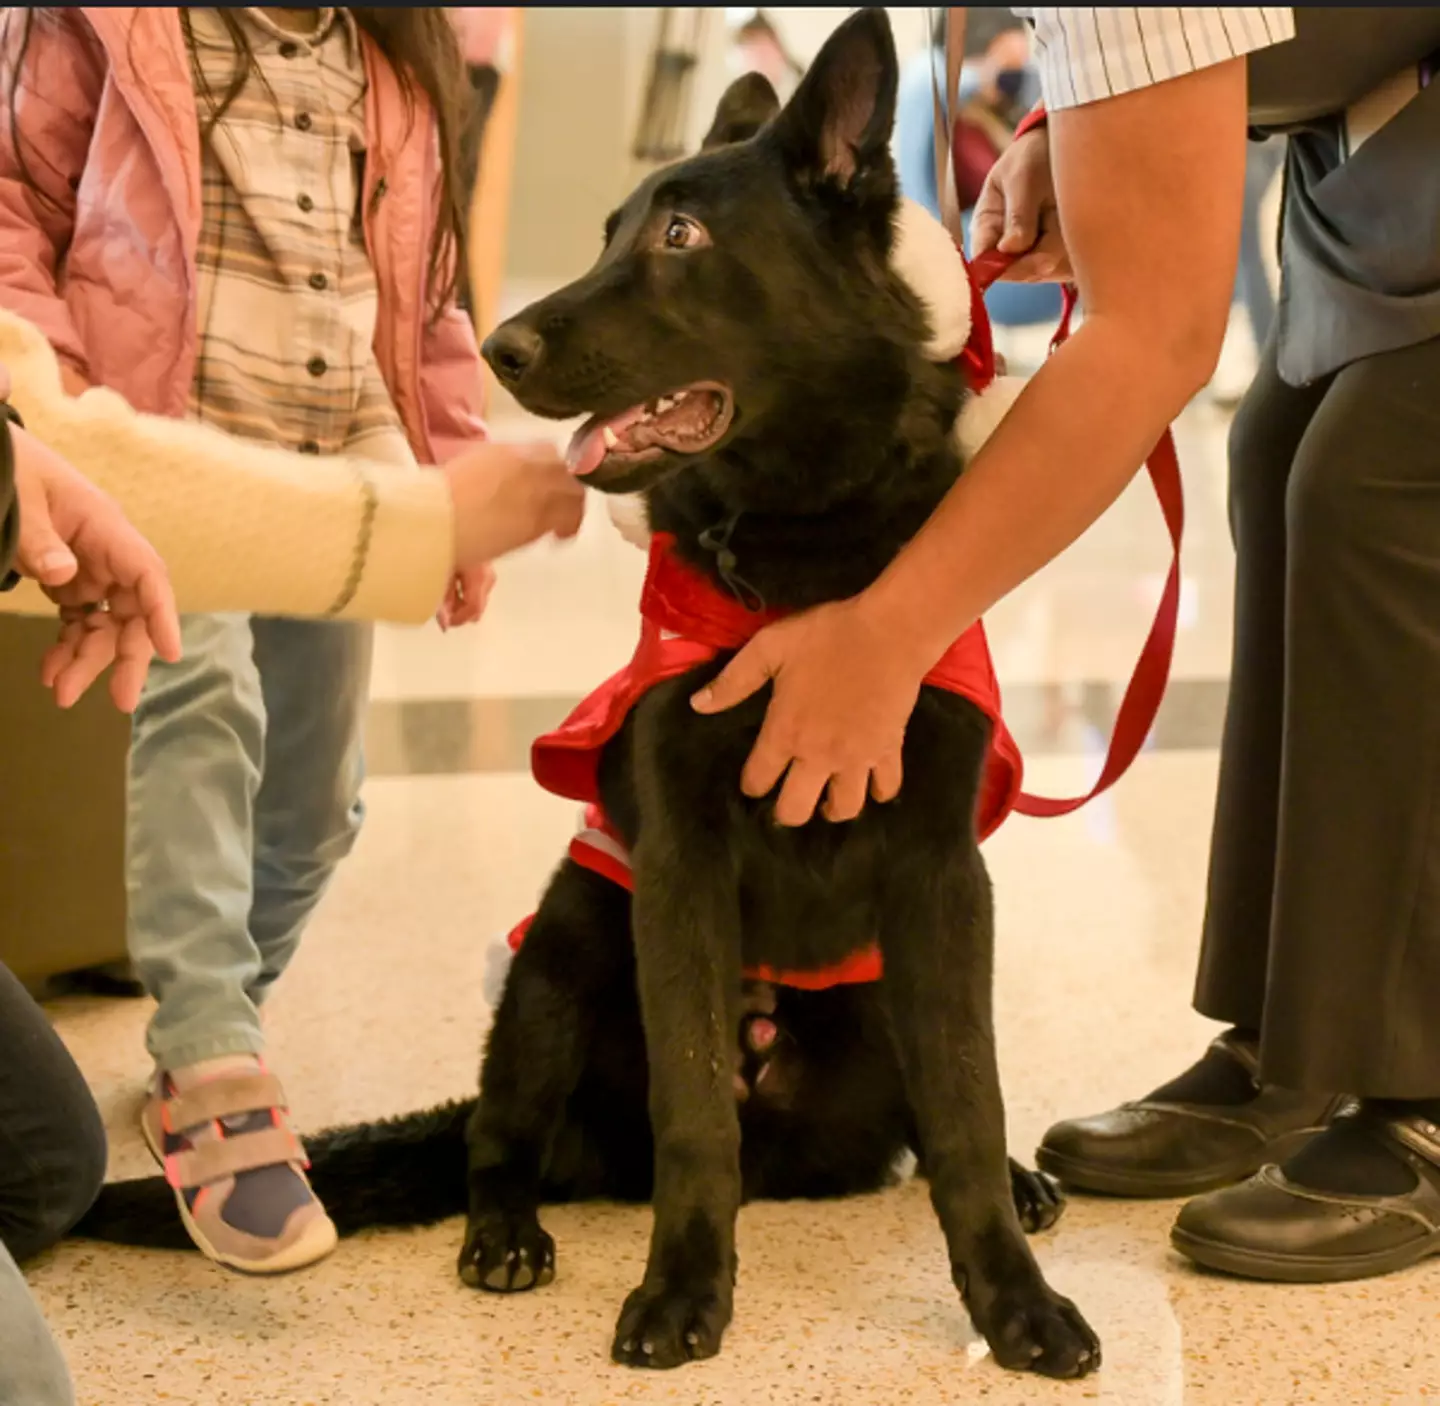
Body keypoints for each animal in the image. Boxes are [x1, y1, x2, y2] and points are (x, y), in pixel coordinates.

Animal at [73, 5, 1094, 1377]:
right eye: (611, 229)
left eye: (681, 238)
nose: (501, 346)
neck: (798, 556)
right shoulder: (676, 871)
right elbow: (692, 1116)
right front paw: (683, 1289)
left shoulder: (943, 878)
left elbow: (971, 1108)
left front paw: (1014, 1299)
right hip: (565, 939)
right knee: (499, 1139)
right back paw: (507, 1232)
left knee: (923, 1118)